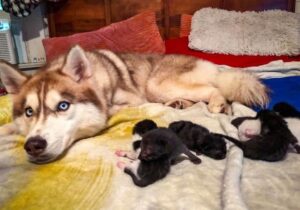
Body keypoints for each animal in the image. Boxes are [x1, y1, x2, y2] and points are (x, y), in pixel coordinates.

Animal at [0, 46, 268, 163]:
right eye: (29, 112)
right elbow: (10, 127)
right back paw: (181, 104)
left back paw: (218, 105)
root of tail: (213, 65)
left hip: (156, 84)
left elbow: (114, 110)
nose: (34, 145)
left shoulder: (133, 100)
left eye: (63, 106)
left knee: (215, 89)